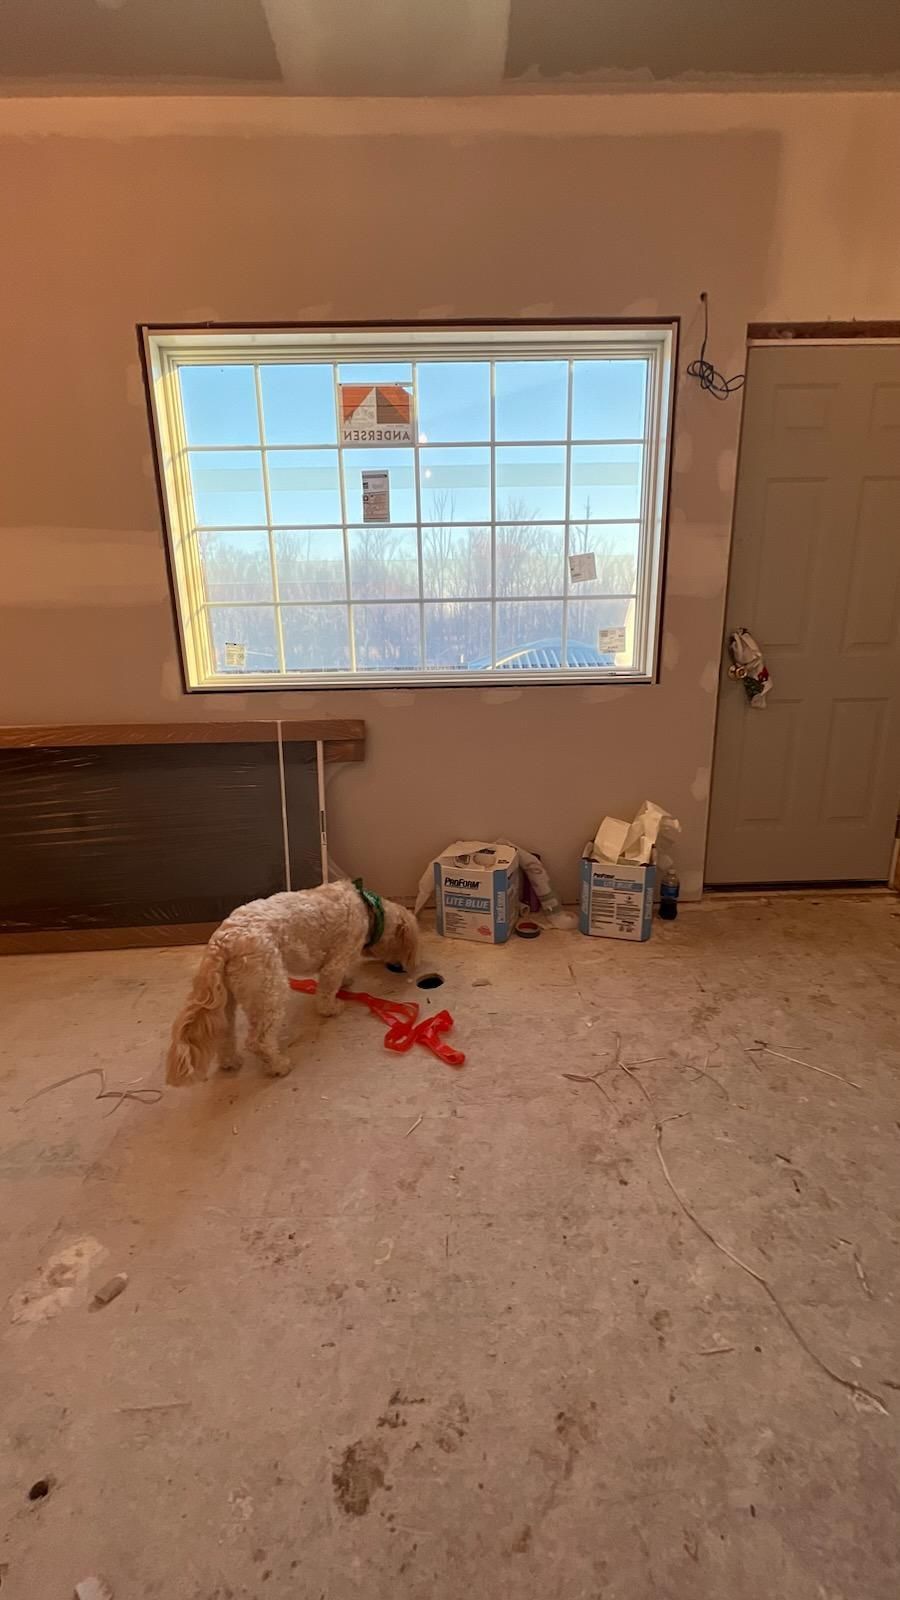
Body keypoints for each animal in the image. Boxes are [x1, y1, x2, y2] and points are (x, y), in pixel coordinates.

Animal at [164, 876, 416, 1088]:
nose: (398, 967)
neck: (369, 909)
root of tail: (224, 940)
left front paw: (346, 982)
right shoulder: (336, 961)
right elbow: (327, 991)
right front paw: (332, 1007)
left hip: (228, 999)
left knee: (224, 1034)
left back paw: (230, 1061)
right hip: (270, 991)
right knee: (259, 1041)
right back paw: (278, 1066)